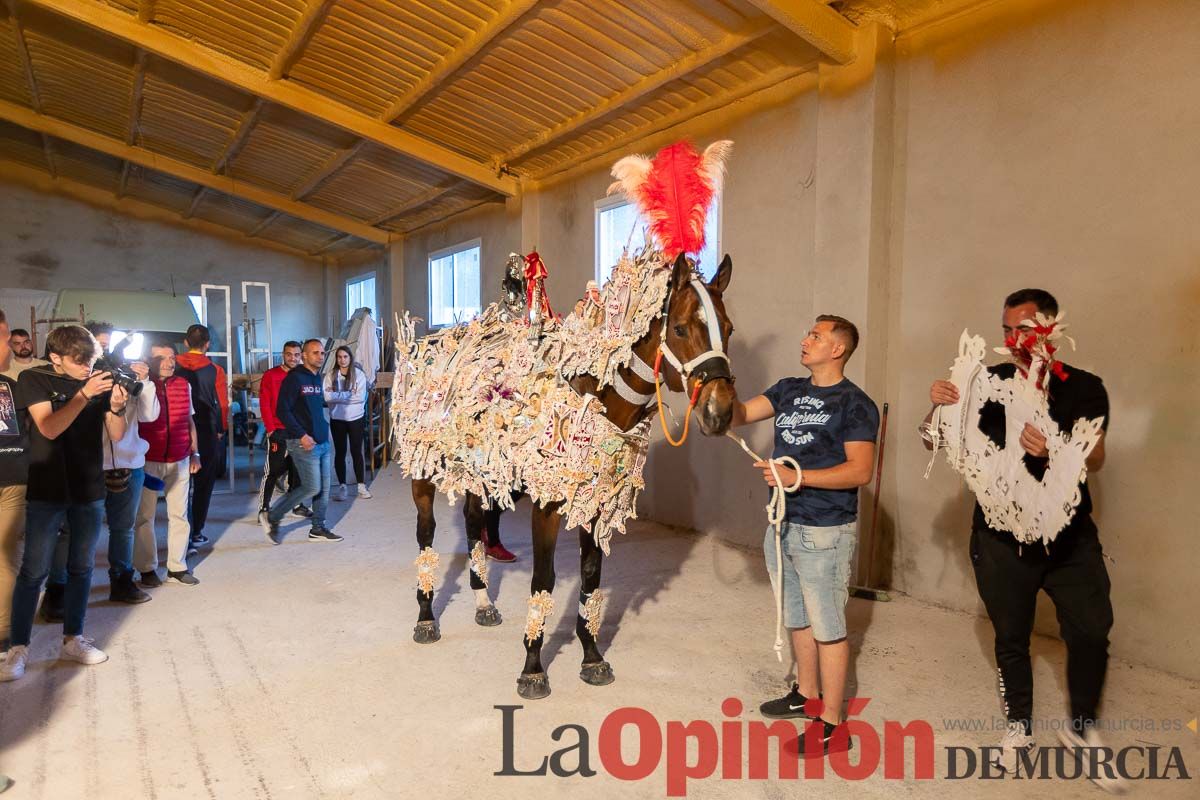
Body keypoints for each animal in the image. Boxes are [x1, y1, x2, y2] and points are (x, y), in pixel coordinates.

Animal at [388, 140, 734, 695]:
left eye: (728, 327)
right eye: (680, 328)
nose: (720, 411)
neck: (594, 395)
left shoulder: (596, 502)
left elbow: (591, 578)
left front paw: (591, 655)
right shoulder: (549, 506)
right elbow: (545, 580)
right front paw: (533, 666)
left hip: (479, 474)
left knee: (474, 526)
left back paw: (483, 602)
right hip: (424, 471)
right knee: (426, 537)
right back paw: (425, 616)